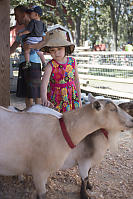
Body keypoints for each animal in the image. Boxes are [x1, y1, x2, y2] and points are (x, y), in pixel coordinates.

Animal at [1, 98, 133, 199]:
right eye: (112, 109)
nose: (132, 120)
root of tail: (23, 110)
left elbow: (89, 174)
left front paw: (90, 186)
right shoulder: (83, 161)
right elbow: (84, 177)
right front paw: (85, 195)